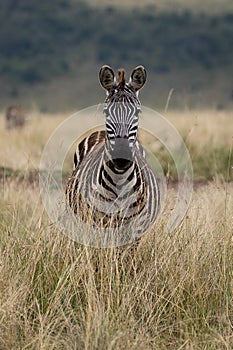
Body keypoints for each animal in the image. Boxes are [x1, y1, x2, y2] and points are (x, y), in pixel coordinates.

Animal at [64, 65, 161, 243]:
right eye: (106, 112)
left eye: (138, 112)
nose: (121, 157)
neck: (119, 179)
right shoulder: (100, 223)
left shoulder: (135, 228)